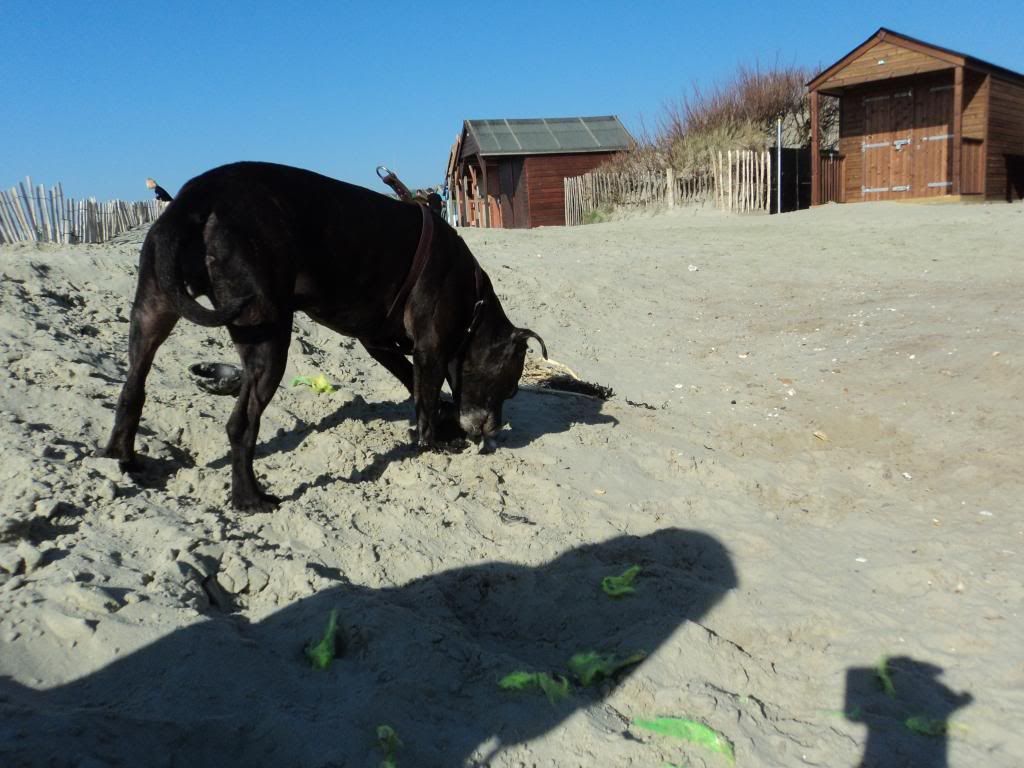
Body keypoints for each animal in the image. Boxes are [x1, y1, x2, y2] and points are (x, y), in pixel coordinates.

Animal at [104, 161, 548, 512]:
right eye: (508, 387)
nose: (492, 430)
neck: (474, 302)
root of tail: (198, 195)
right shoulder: (431, 348)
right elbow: (424, 399)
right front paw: (436, 441)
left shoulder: (381, 343)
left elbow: (418, 387)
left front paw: (444, 422)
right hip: (268, 340)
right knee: (241, 424)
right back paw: (249, 498)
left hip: (152, 311)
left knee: (133, 387)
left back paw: (123, 458)